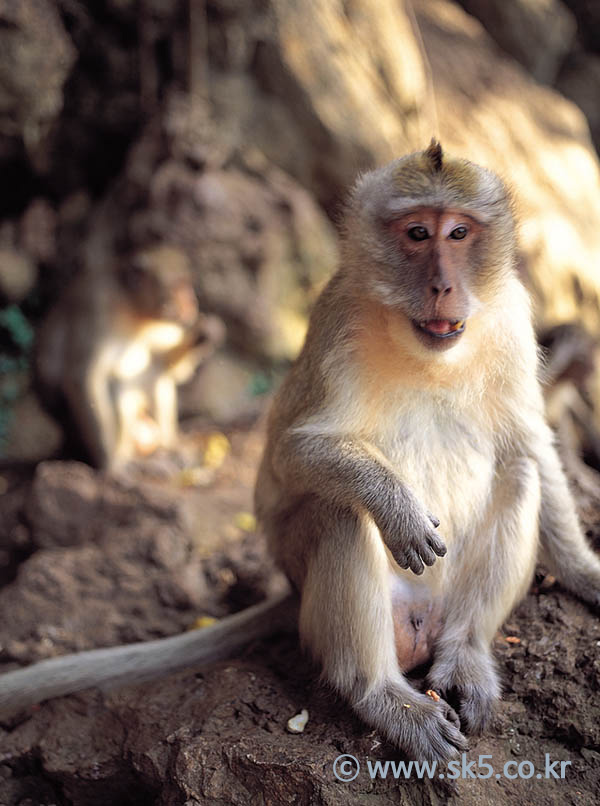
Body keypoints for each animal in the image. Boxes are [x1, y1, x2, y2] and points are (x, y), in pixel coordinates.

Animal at [35, 248, 223, 474]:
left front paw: (203, 335)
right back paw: (132, 459)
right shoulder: (95, 308)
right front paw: (111, 465)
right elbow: (82, 380)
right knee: (117, 388)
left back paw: (168, 447)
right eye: (178, 286)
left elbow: (166, 366)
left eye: (187, 284)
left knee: (154, 374)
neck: (132, 308)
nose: (192, 302)